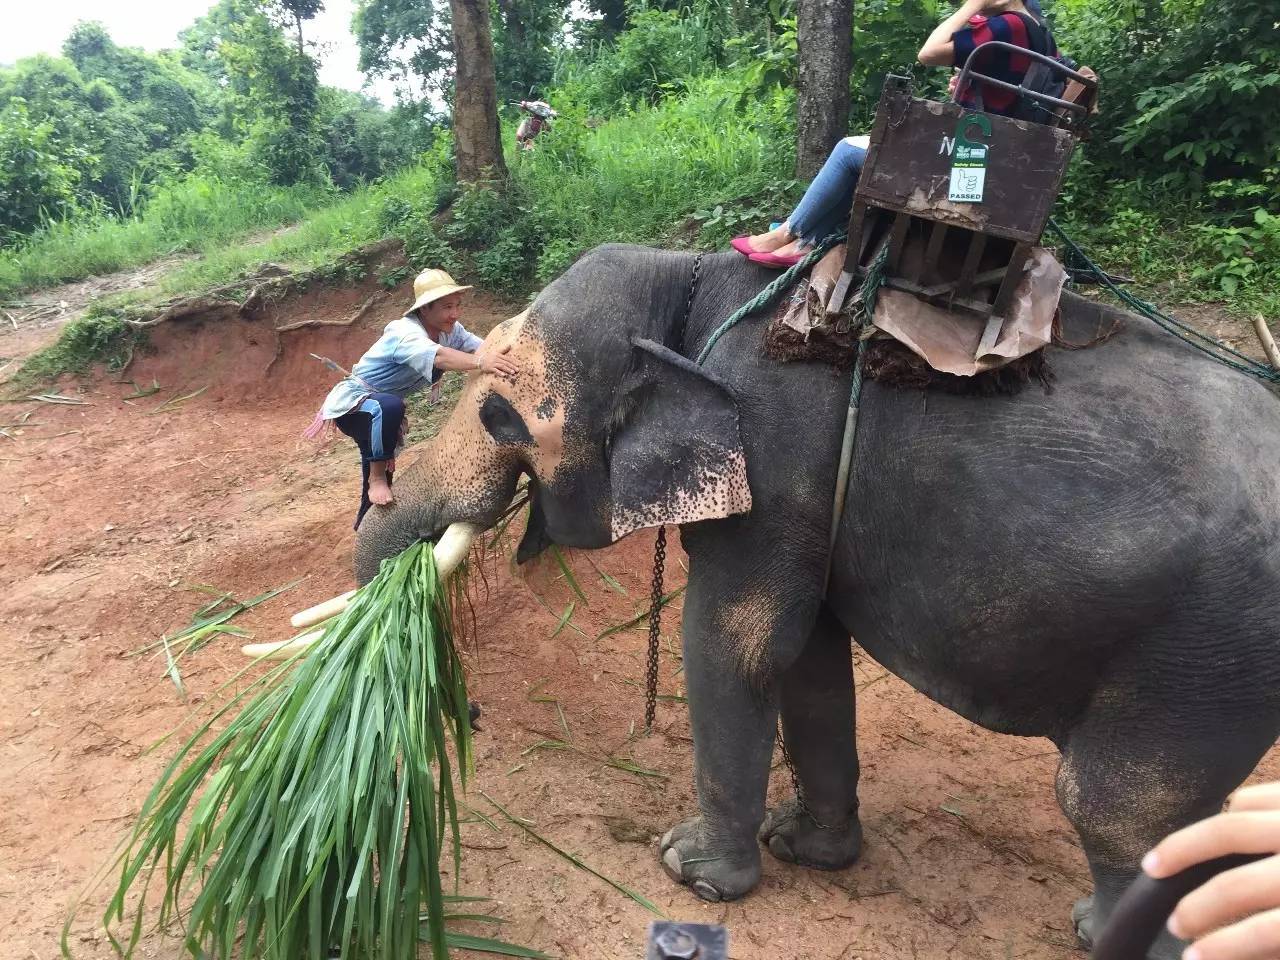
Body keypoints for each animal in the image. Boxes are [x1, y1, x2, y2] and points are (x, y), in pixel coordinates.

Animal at [350, 244, 1280, 957]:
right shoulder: (804, 505)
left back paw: (1100, 933)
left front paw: (690, 870)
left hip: (1206, 651)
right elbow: (809, 664)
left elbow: (732, 643)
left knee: (1117, 808)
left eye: (502, 418)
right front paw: (807, 850)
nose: (466, 717)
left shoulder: (774, 468)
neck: (686, 283)